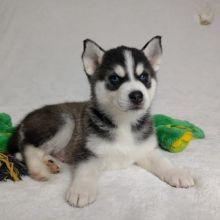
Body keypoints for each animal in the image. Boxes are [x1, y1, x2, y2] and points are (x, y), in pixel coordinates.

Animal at [8, 35, 194, 206]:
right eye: (114, 78)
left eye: (143, 77)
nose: (137, 95)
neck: (124, 123)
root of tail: (25, 119)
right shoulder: (88, 152)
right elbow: (86, 171)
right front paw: (81, 190)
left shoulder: (146, 149)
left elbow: (163, 162)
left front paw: (177, 173)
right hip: (64, 122)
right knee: (28, 147)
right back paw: (39, 170)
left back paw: (50, 163)